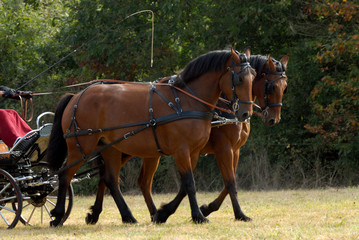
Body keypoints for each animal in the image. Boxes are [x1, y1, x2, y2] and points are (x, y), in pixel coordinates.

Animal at [47, 48, 256, 225]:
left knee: (111, 180)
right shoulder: (184, 150)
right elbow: (191, 183)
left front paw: (164, 213)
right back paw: (58, 215)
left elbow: (190, 184)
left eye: (253, 77)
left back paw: (128, 217)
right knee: (65, 175)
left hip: (110, 148)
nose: (245, 113)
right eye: (239, 79)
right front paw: (199, 215)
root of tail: (76, 96)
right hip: (80, 147)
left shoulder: (195, 152)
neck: (186, 101)